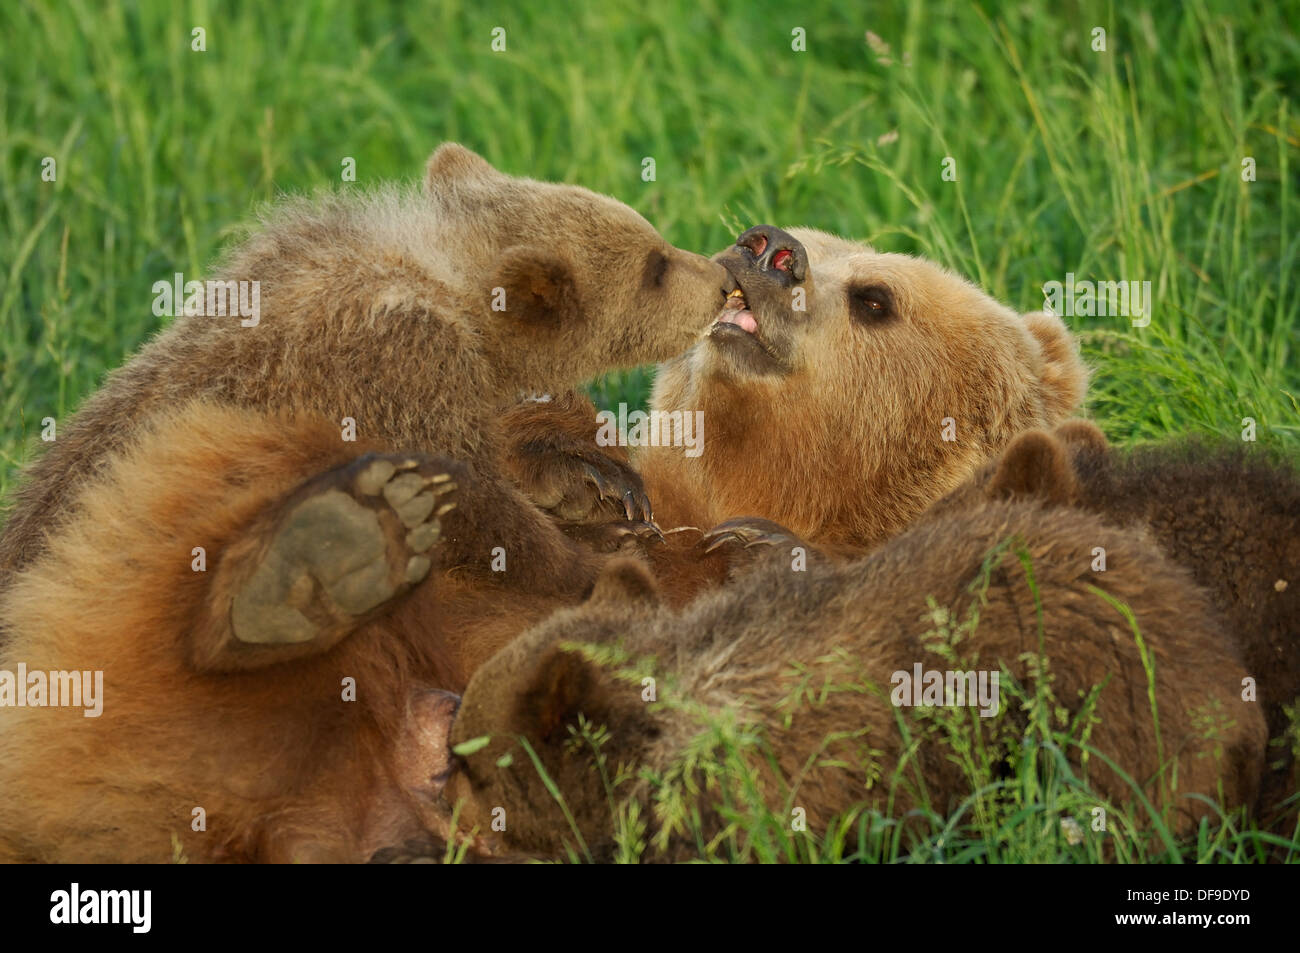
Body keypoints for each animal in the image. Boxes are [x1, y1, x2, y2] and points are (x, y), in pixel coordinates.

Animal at [0, 145, 739, 862]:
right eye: (654, 266)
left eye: (653, 239)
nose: (722, 274)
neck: (449, 288)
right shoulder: (387, 365)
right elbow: (475, 504)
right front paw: (592, 550)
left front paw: (592, 480)